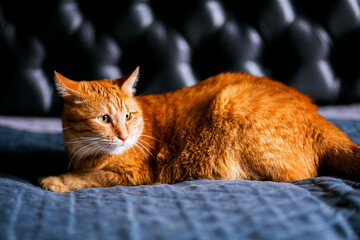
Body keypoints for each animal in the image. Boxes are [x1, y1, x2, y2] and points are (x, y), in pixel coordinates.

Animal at [39, 67, 360, 193]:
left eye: (128, 116)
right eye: (105, 119)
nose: (124, 135)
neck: (85, 152)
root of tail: (317, 117)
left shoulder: (133, 175)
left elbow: (89, 178)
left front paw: (57, 180)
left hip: (231, 102)